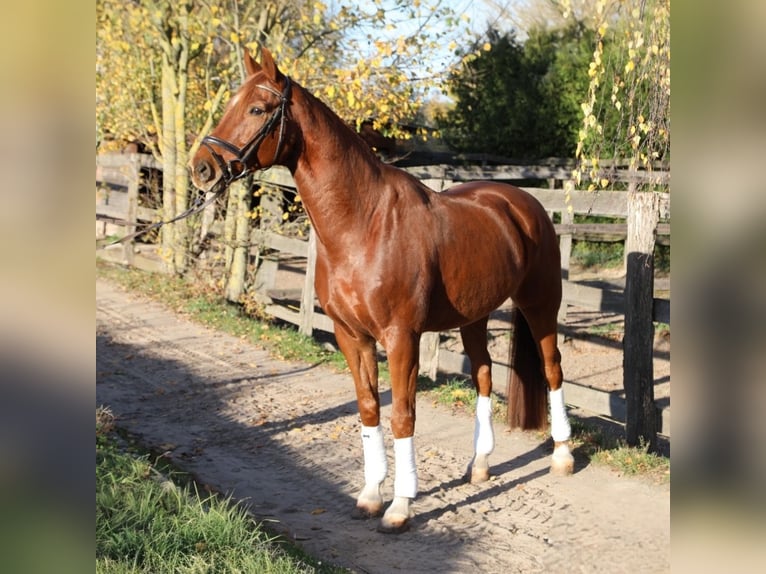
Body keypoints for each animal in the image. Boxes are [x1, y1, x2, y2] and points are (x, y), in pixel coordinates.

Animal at [192, 49, 576, 536]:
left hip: (540, 305)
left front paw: (400, 506)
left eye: (257, 109)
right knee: (485, 375)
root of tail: (525, 205)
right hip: (474, 316)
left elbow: (402, 415)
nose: (201, 168)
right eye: (230, 104)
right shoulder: (351, 336)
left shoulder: (400, 338)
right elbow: (370, 409)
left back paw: (562, 455)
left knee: (552, 370)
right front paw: (372, 495)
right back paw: (480, 465)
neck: (364, 223)